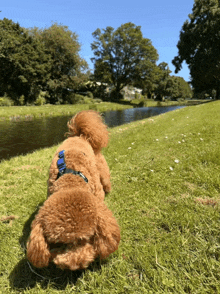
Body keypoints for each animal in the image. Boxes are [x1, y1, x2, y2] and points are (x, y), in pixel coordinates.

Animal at [27, 111, 122, 272]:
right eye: (60, 243)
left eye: (85, 239)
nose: (75, 265)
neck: (70, 180)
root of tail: (79, 135)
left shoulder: (98, 197)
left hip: (101, 166)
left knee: (106, 179)